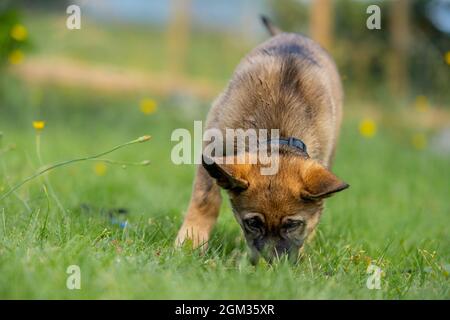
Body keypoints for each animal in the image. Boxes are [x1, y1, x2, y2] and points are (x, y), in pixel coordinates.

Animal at [176, 16, 348, 262]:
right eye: (253, 223)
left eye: (292, 224)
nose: (273, 265)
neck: (277, 135)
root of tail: (292, 34)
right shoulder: (213, 143)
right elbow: (206, 198)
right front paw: (191, 241)